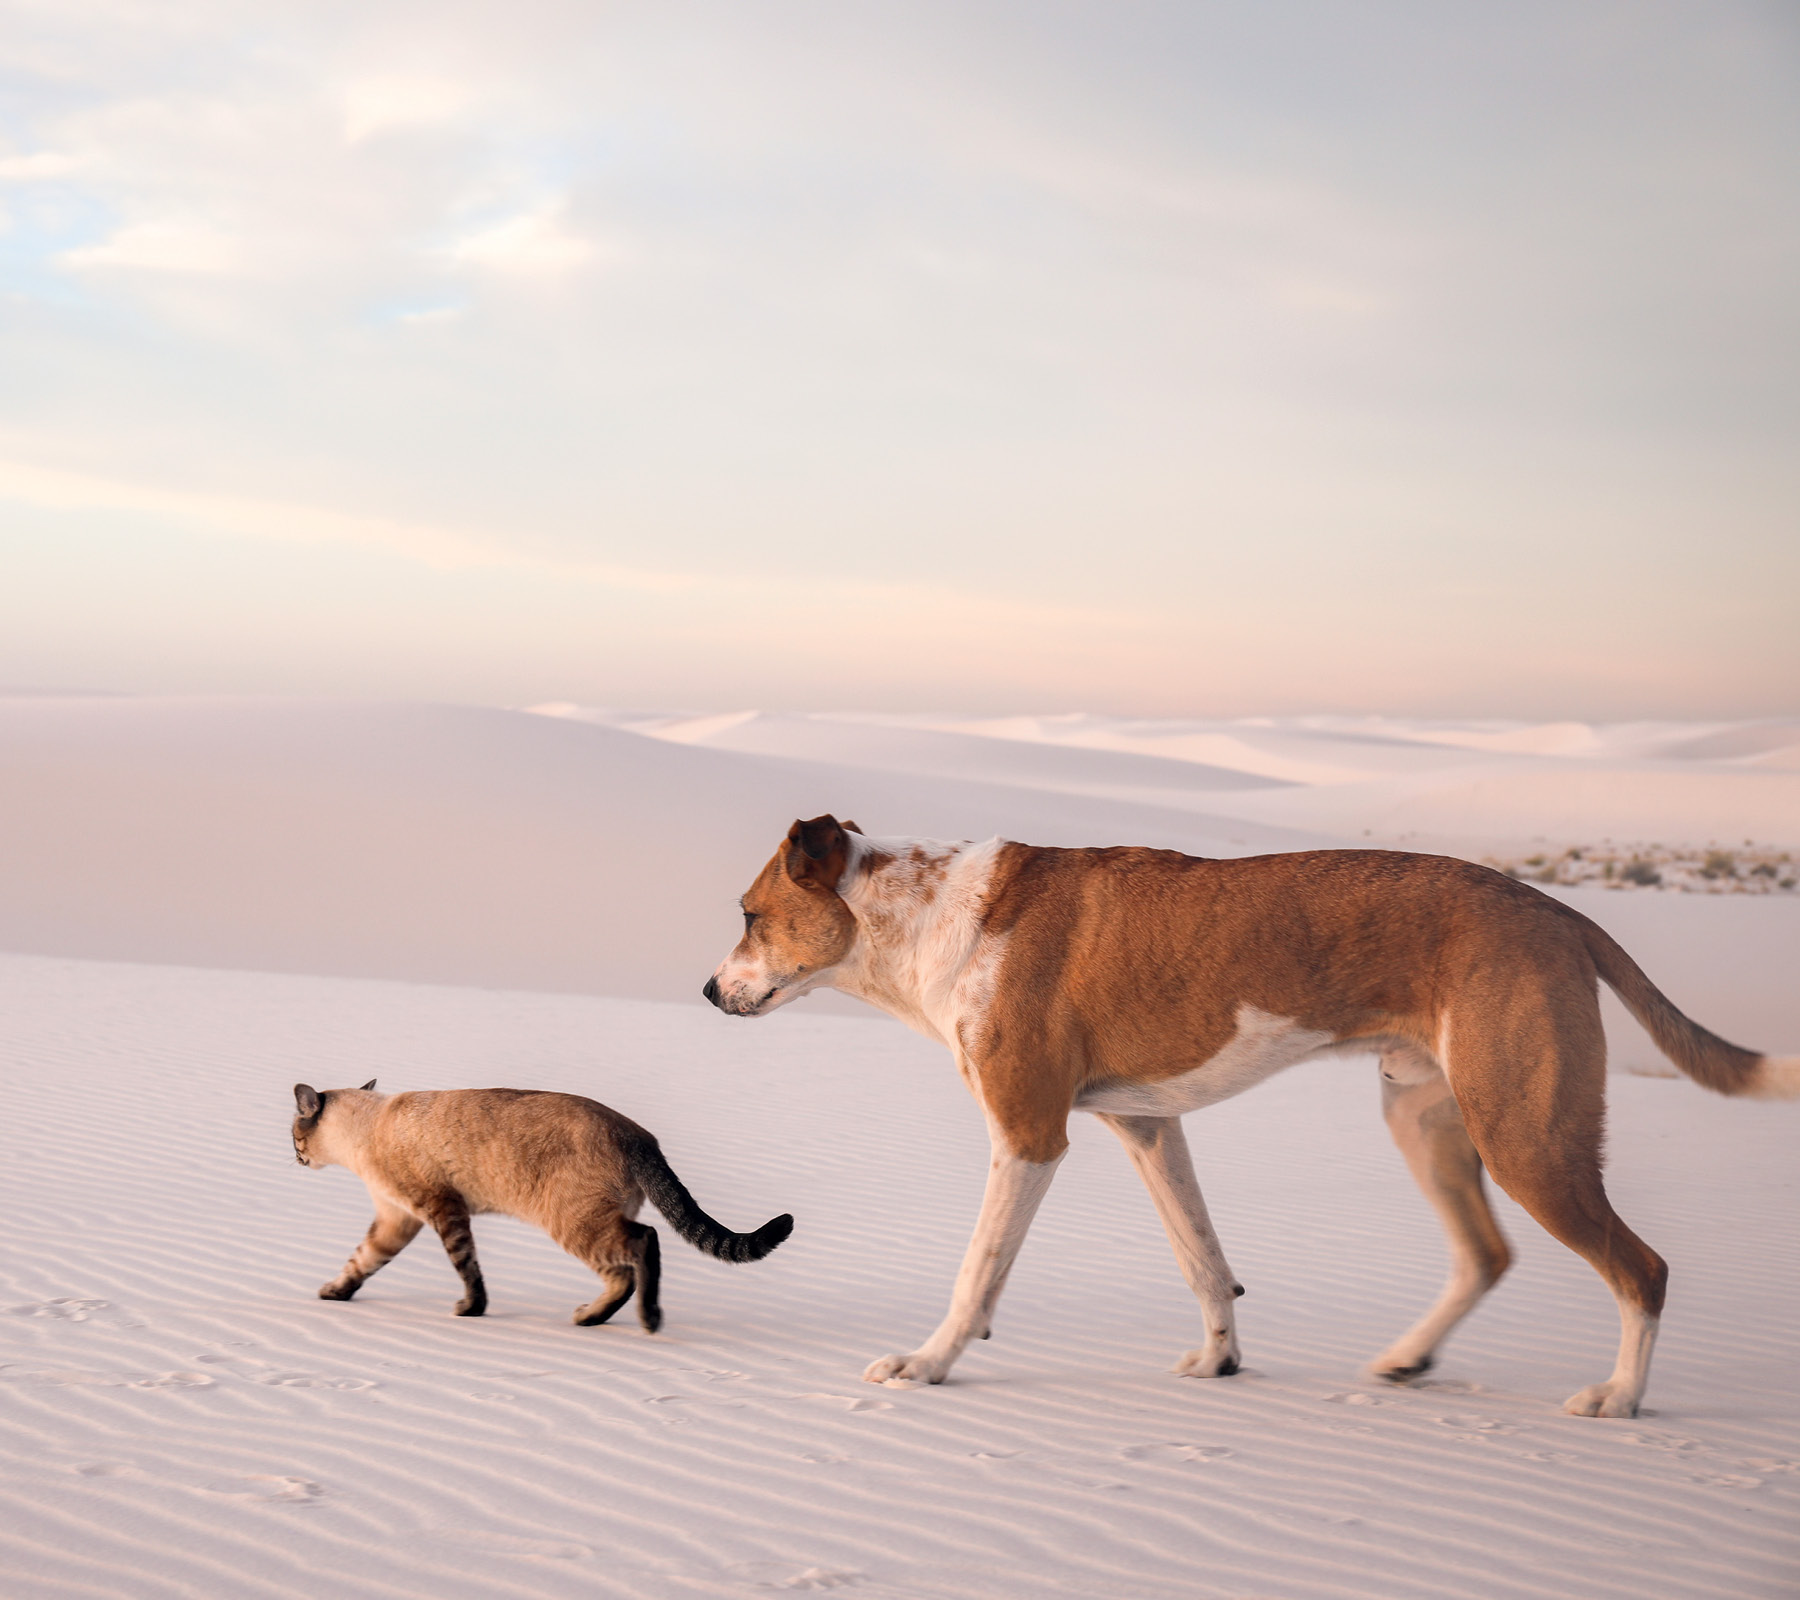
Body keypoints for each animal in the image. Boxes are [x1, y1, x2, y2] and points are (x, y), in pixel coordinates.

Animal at [291, 1079, 792, 1331]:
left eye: (294, 1133)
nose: (294, 1156)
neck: (367, 1126)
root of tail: (640, 1137)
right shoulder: (395, 1220)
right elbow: (362, 1260)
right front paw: (335, 1293)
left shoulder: (441, 1209)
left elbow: (466, 1266)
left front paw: (471, 1310)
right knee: (626, 1271)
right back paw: (592, 1318)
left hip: (574, 1223)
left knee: (643, 1245)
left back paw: (646, 1319)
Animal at [709, 817, 1792, 1418]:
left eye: (750, 915)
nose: (712, 992)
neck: (929, 910)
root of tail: (1559, 911)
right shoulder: (1147, 1126)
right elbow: (1204, 1260)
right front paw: (1221, 1361)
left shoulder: (1029, 1132)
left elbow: (976, 1272)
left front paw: (927, 1364)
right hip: (1430, 1119)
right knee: (1487, 1252)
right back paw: (1408, 1358)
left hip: (1525, 1133)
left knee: (1641, 1268)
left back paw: (1621, 1399)